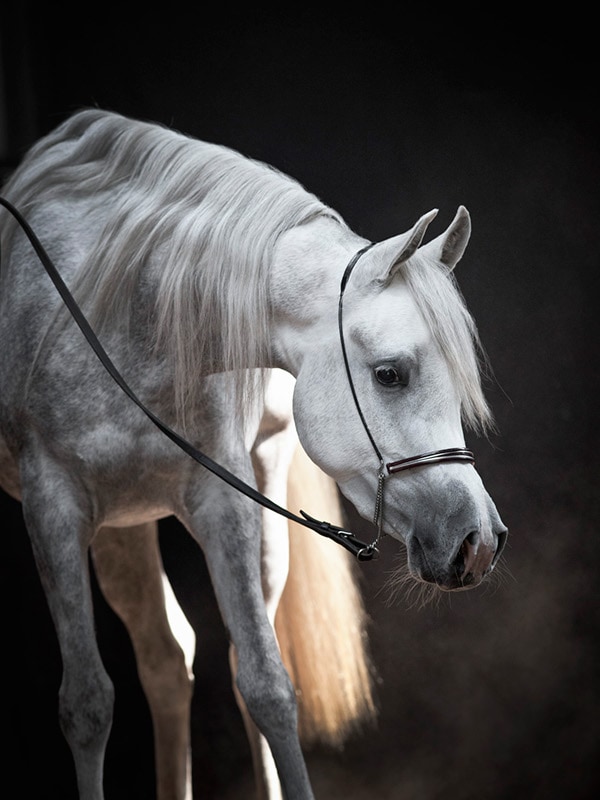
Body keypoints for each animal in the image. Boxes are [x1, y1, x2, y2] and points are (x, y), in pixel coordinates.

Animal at [0, 108, 507, 800]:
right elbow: (86, 704)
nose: (477, 540)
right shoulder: (51, 506)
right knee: (160, 660)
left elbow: (267, 686)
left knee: (178, 658)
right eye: (390, 374)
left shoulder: (224, 500)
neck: (124, 315)